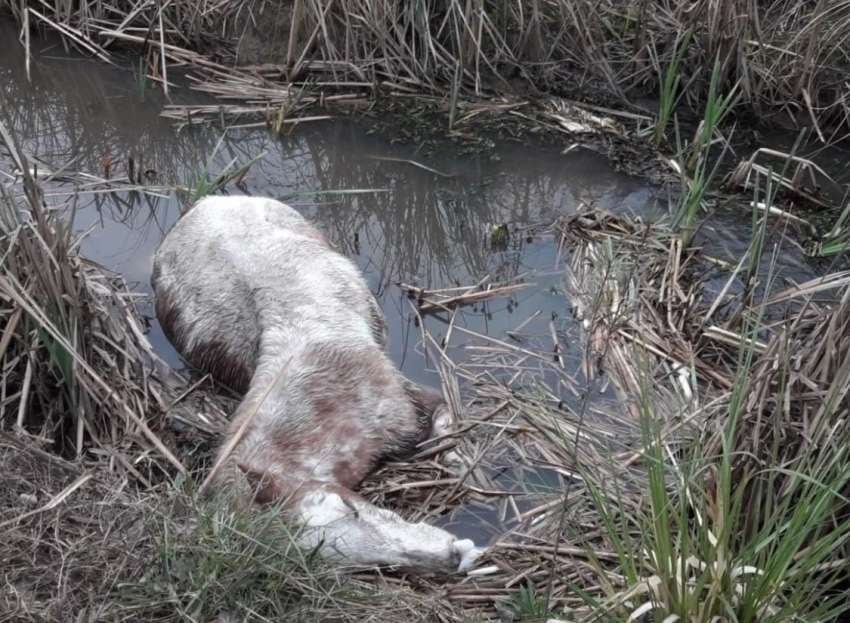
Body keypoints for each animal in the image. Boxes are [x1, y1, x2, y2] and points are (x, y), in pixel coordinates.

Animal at [152, 196, 480, 576]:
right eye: (366, 567)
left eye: (351, 508)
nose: (453, 554)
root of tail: (208, 200)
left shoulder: (413, 402)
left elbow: (449, 436)